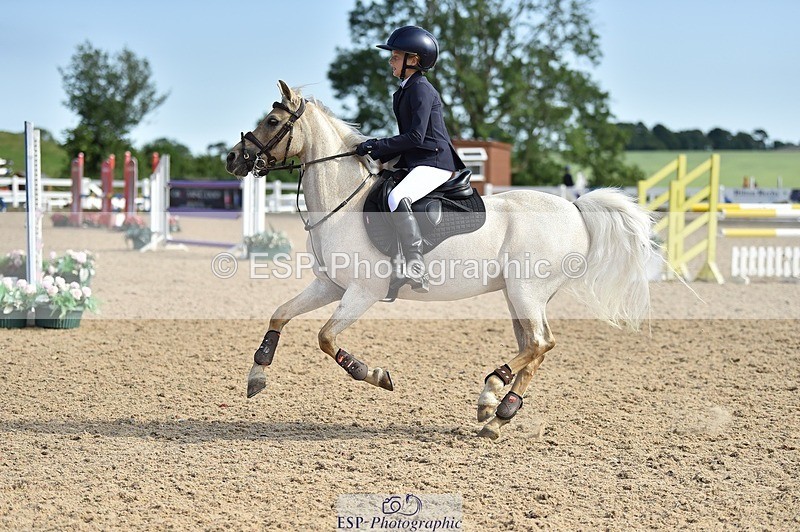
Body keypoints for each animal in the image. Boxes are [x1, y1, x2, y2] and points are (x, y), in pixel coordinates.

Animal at [226, 81, 653, 440]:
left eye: (273, 121)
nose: (233, 158)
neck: (342, 202)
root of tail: (575, 209)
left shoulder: (363, 291)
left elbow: (326, 338)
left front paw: (374, 374)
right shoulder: (329, 285)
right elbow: (280, 314)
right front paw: (256, 375)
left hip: (526, 291)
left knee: (539, 343)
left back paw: (491, 393)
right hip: (518, 296)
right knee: (535, 348)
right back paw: (498, 415)